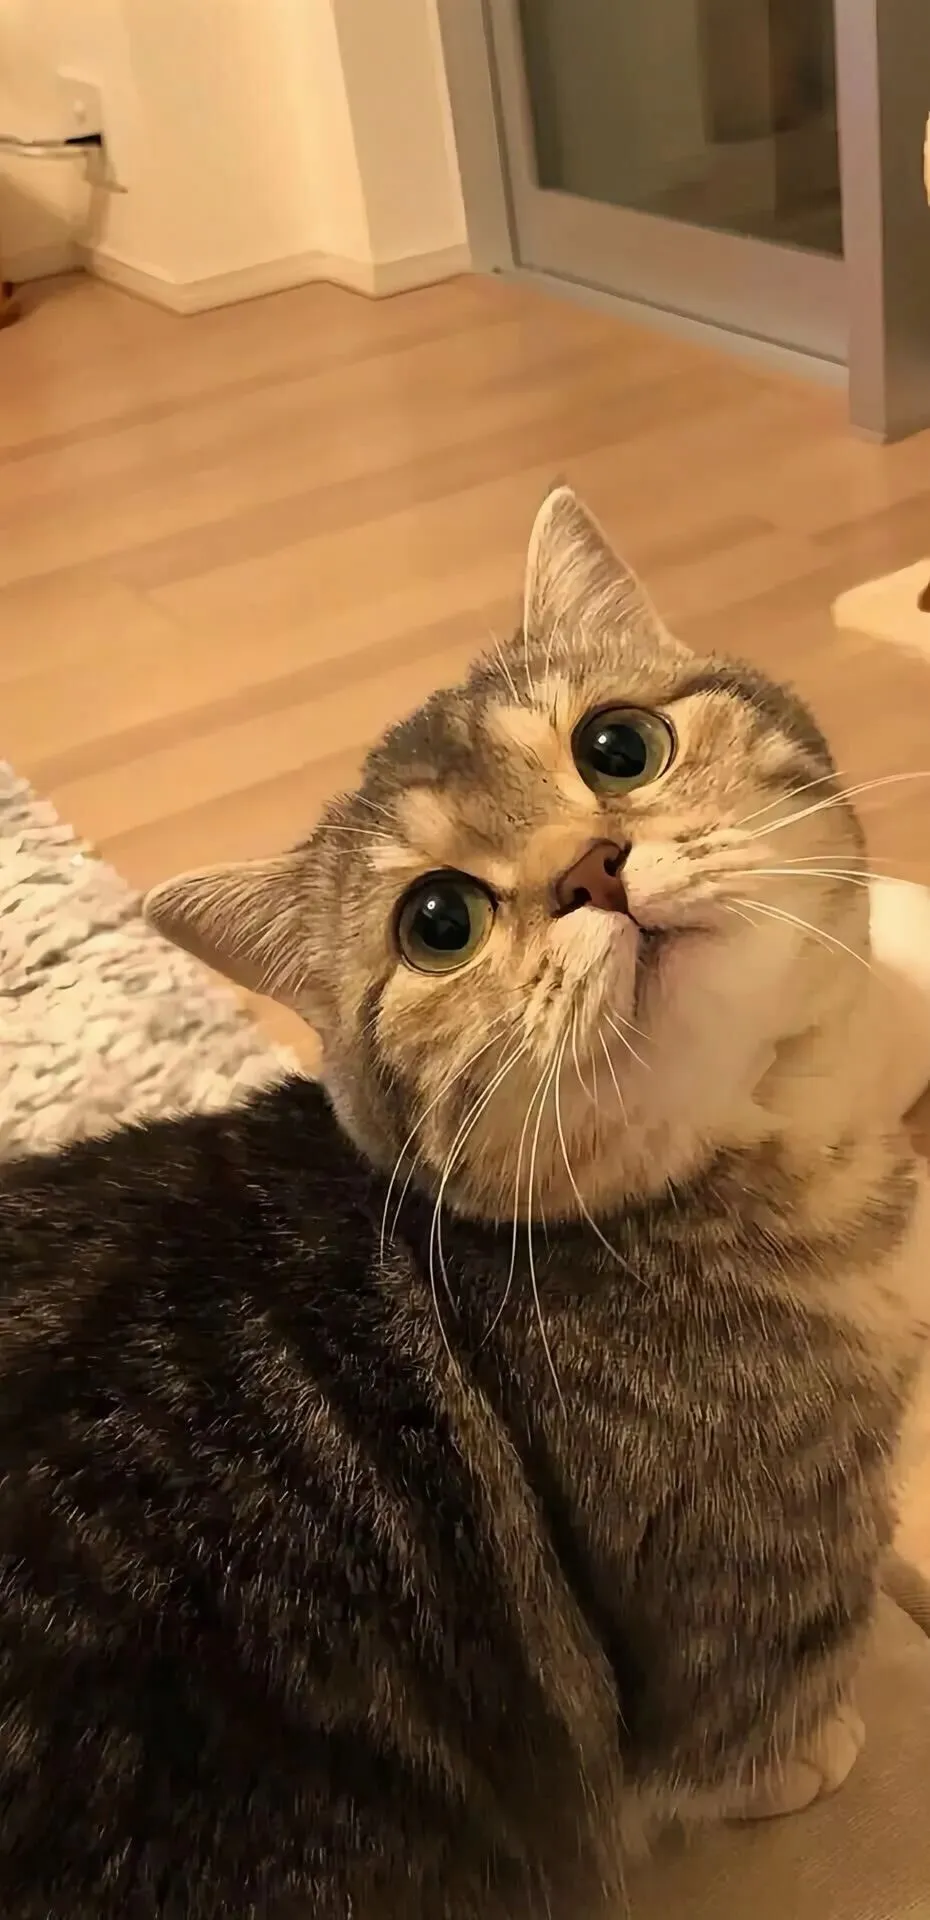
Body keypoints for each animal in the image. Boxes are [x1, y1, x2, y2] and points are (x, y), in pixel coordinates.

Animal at [0, 485, 928, 1920]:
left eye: (619, 745)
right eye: (438, 921)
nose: (595, 865)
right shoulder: (747, 1575)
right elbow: (753, 1705)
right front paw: (808, 1755)